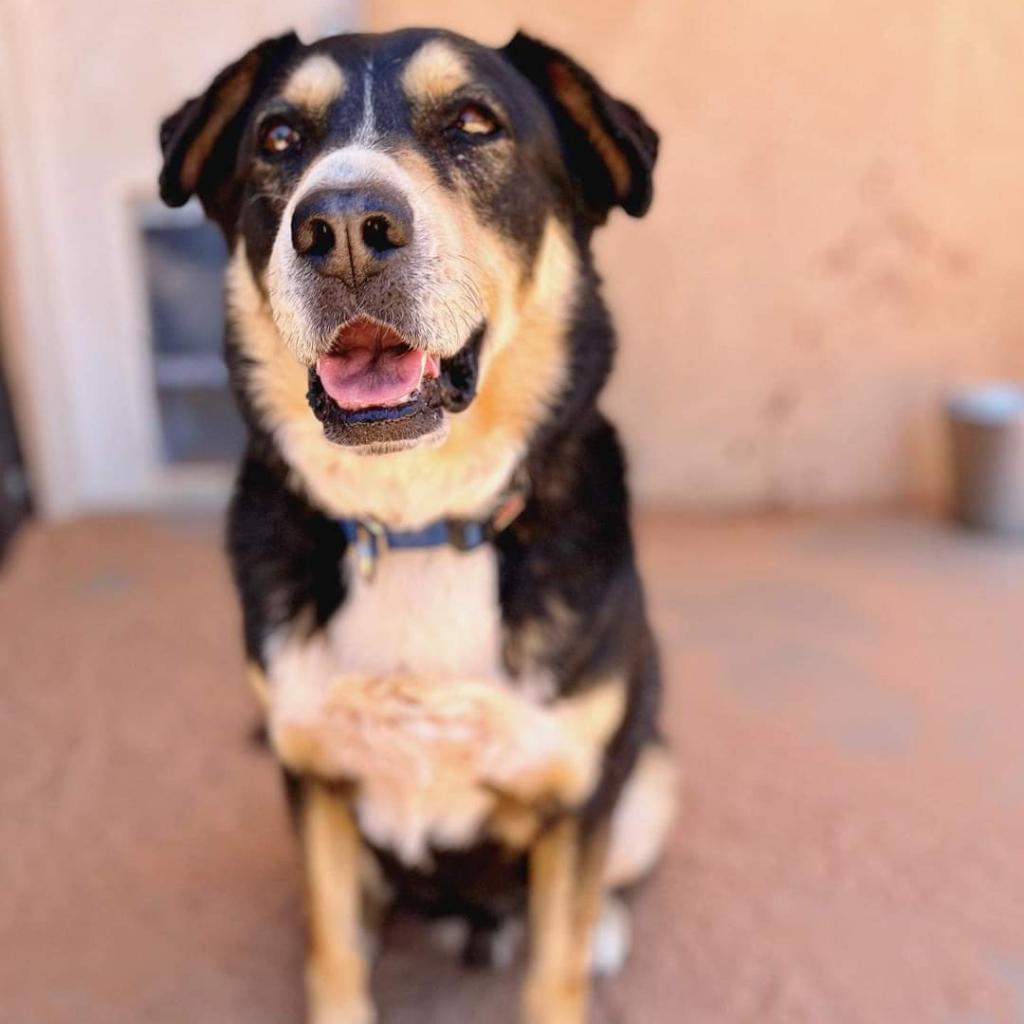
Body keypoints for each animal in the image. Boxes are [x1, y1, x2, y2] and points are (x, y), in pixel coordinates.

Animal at [157, 24, 671, 1024]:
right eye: (279, 137)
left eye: (474, 123)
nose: (344, 226)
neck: (418, 524)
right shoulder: (312, 776)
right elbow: (332, 951)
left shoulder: (581, 785)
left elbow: (554, 962)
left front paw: (576, 946)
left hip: (651, 776)